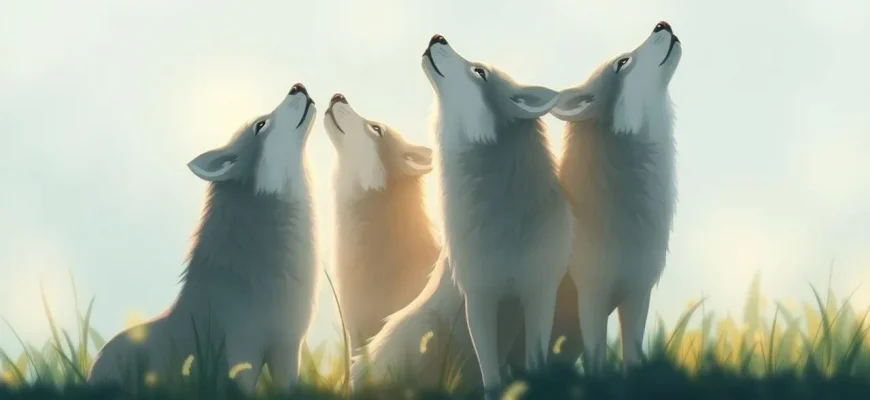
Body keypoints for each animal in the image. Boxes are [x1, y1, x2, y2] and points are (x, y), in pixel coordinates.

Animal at [421, 34, 574, 393]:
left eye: (479, 72)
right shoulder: (479, 297)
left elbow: (535, 363)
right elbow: (490, 377)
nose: (437, 37)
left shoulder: (539, 291)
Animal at [550, 21, 683, 374]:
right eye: (623, 62)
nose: (663, 24)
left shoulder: (637, 293)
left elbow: (632, 356)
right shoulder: (592, 296)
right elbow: (597, 360)